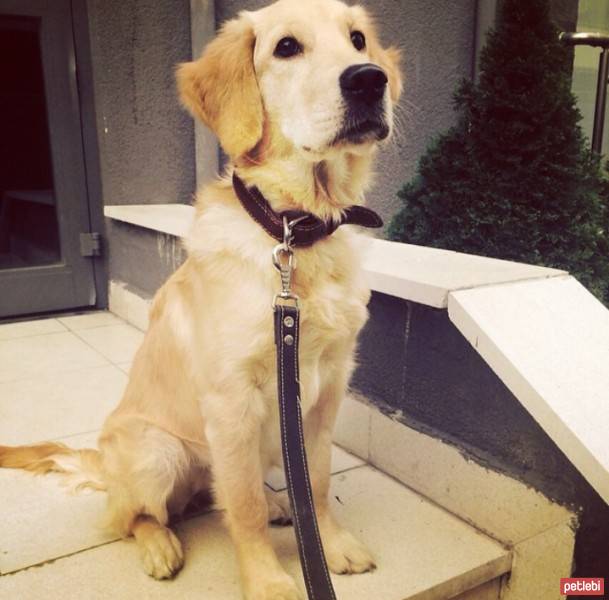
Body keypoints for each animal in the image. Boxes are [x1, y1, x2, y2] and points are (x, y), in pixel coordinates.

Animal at [0, 1, 402, 596]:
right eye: (286, 47)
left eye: (357, 40)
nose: (370, 80)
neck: (294, 230)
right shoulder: (232, 401)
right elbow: (244, 507)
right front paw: (268, 580)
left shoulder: (329, 385)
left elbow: (317, 480)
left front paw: (331, 545)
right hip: (160, 452)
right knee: (139, 515)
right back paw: (161, 544)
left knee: (219, 497)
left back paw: (281, 506)